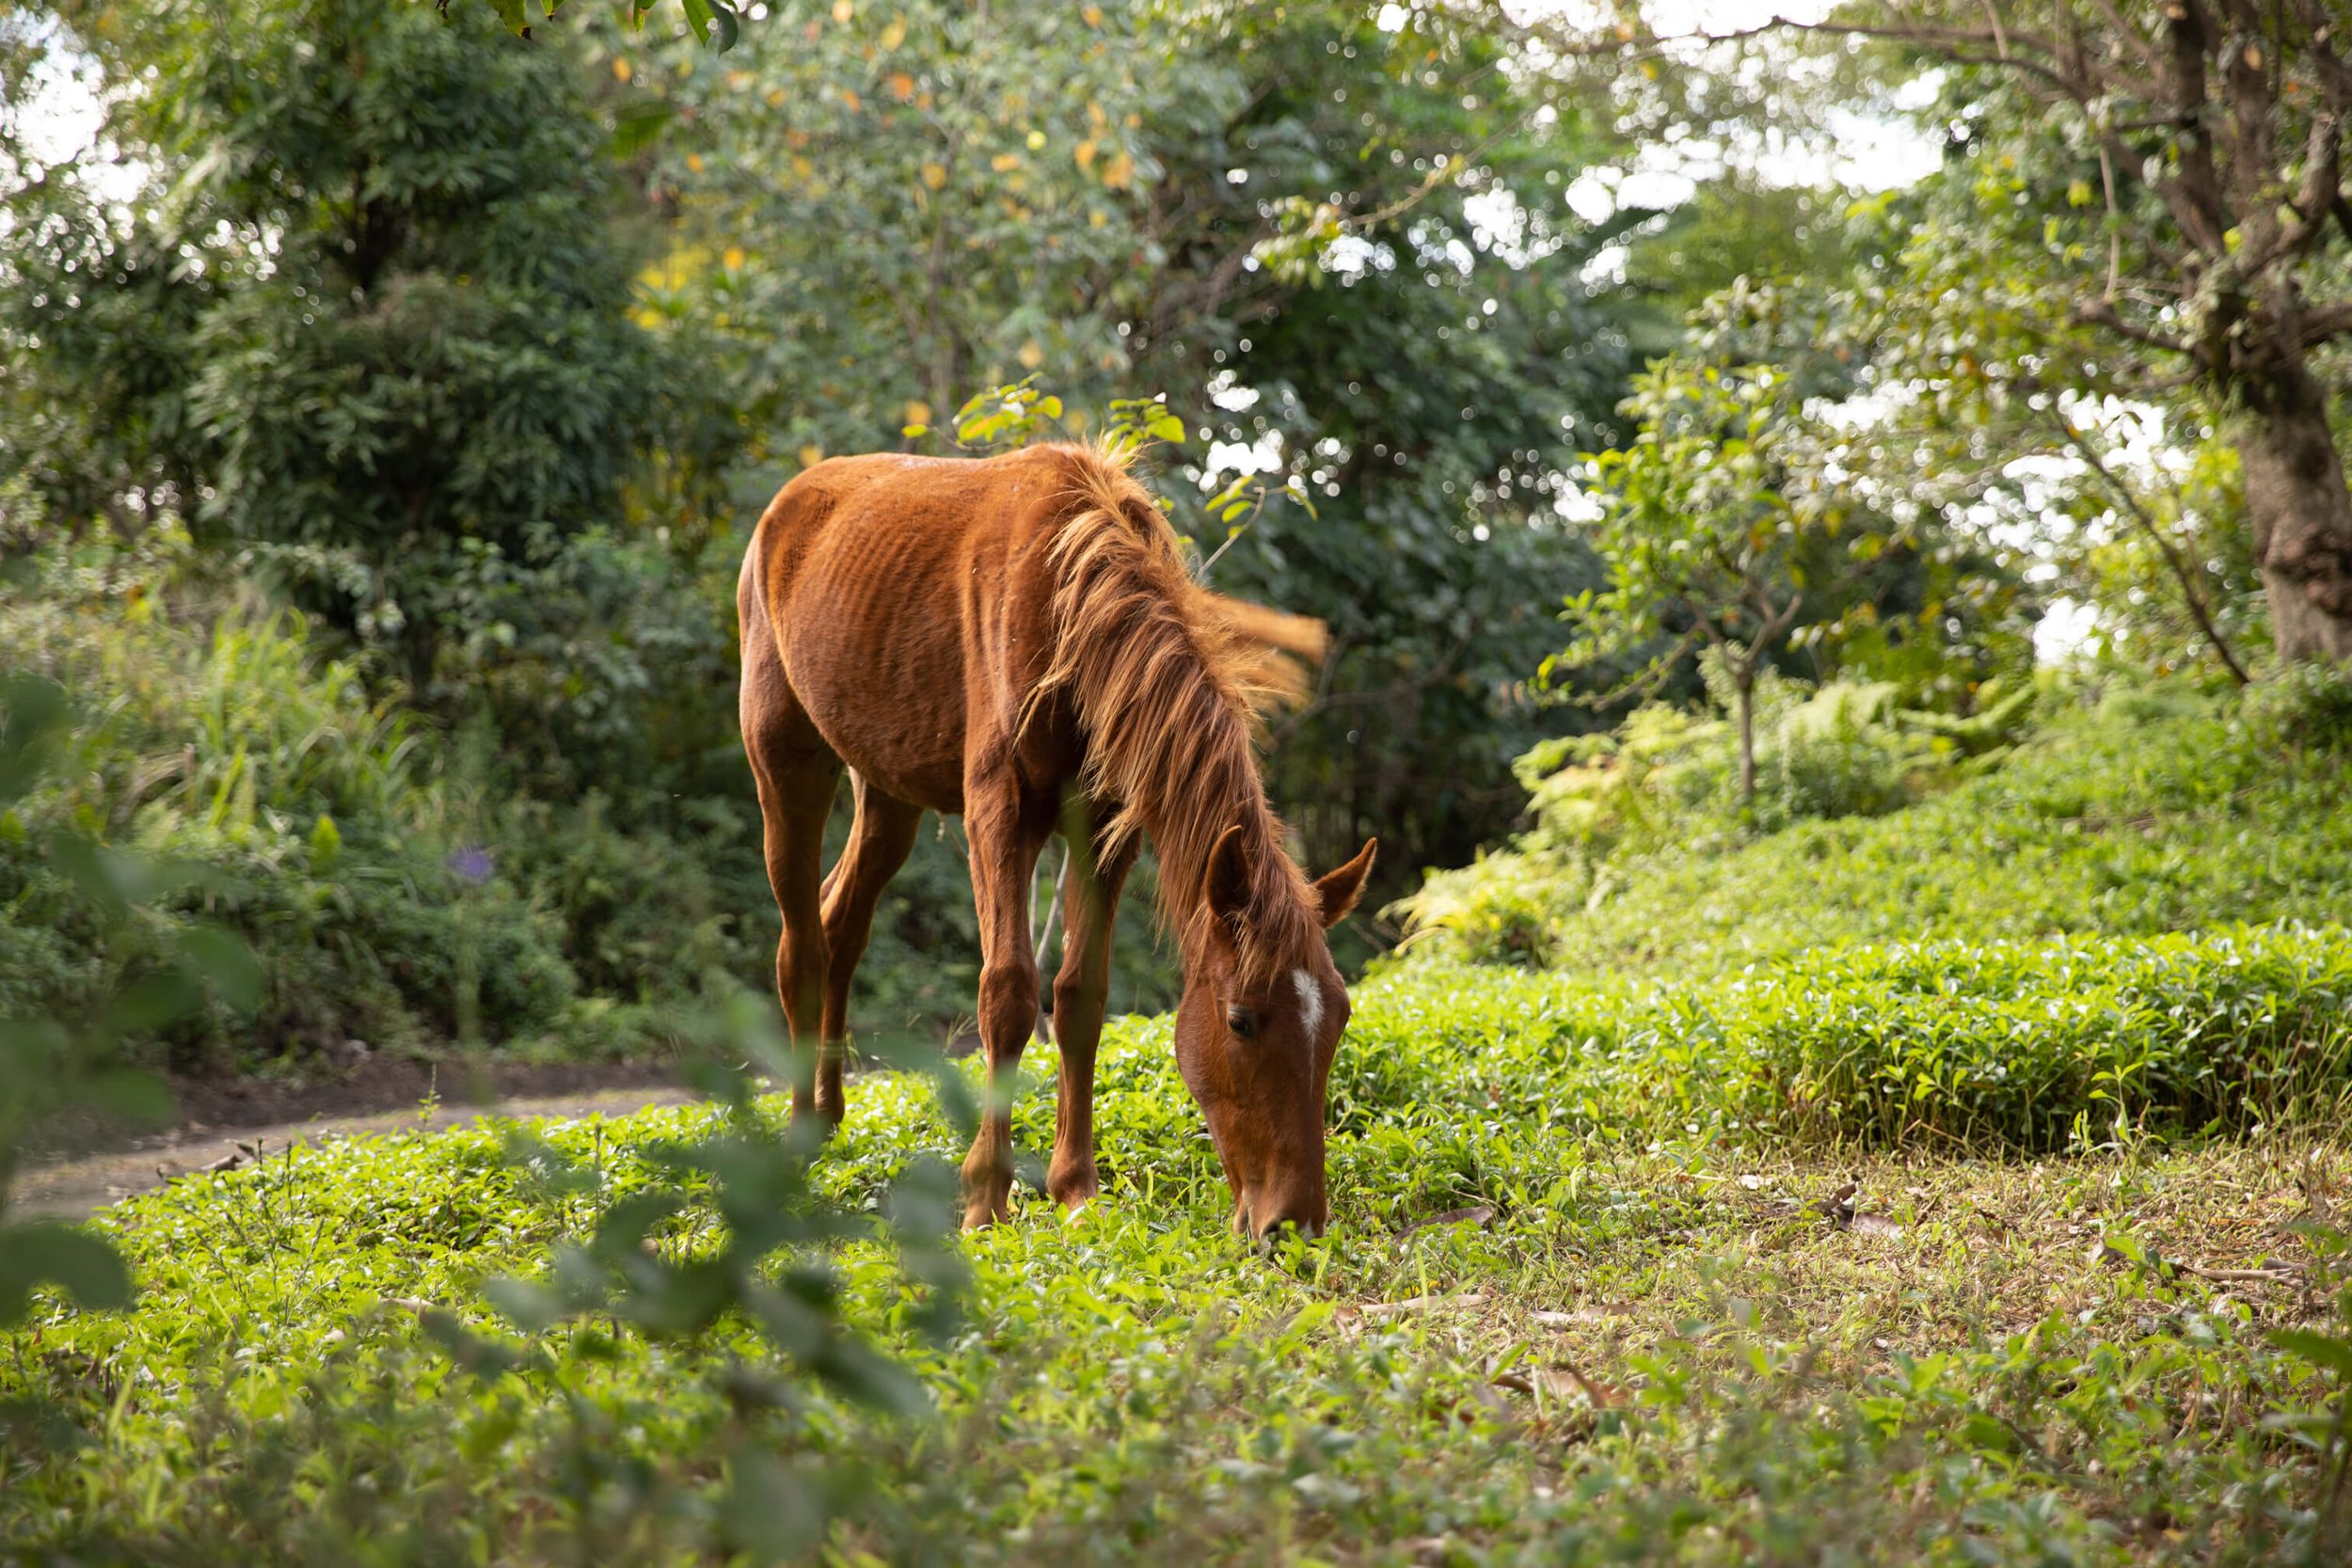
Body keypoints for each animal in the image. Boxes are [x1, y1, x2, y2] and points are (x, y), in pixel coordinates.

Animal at [736, 441, 1376, 1237]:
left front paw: (1075, 1185)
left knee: (840, 925)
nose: (1295, 1224)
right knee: (801, 945)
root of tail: (791, 498)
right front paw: (986, 1195)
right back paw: (799, 1135)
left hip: (888, 788)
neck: (1076, 604)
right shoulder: (998, 812)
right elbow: (1008, 992)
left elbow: (1080, 996)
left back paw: (827, 1110)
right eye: (1242, 1021)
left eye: (1339, 1018)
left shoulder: (1105, 824)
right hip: (785, 760)